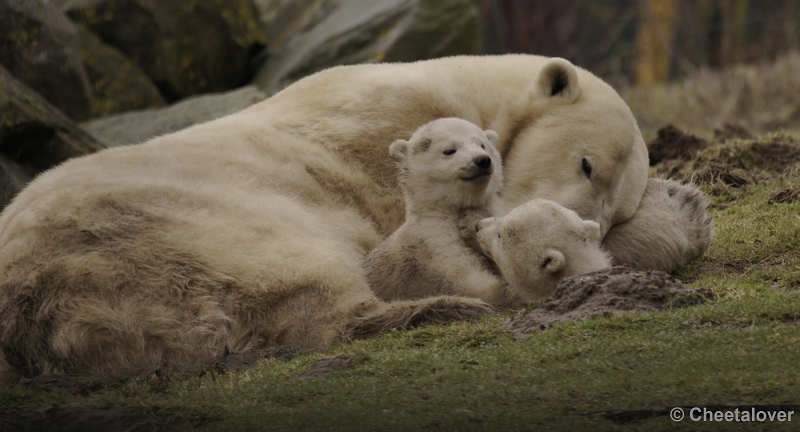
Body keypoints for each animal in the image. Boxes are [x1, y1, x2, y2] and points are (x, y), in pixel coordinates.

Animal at [0, 55, 708, 384]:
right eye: (586, 164)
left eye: (612, 212)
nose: (586, 227)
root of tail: (29, 308)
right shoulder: (395, 150)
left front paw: (679, 209)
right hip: (175, 231)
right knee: (301, 278)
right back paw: (440, 311)